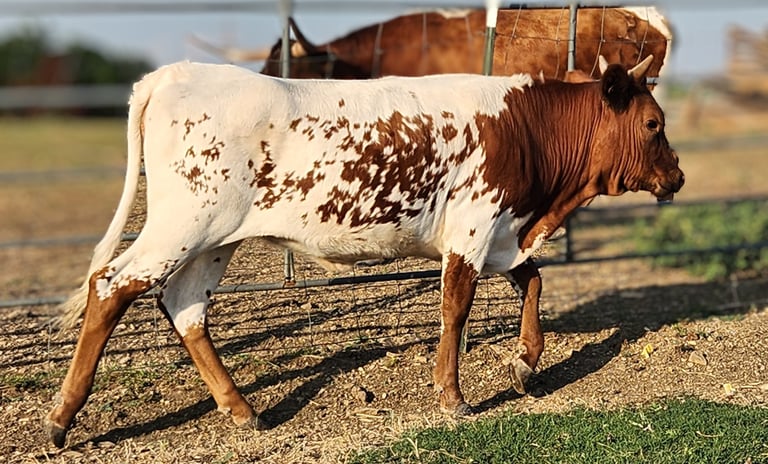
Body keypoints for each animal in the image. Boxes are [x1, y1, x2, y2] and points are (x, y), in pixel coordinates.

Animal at [45, 55, 683, 447]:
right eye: (654, 123)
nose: (676, 176)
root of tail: (173, 75)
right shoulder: (474, 228)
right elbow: (457, 308)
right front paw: (452, 396)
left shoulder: (503, 232)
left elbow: (533, 280)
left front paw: (525, 362)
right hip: (182, 222)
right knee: (112, 284)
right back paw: (62, 416)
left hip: (215, 239)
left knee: (184, 307)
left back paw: (243, 410)